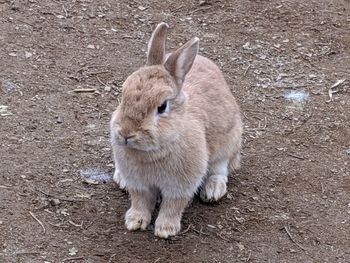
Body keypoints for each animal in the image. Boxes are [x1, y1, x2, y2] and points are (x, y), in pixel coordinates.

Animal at [110, 21, 242, 238]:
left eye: (162, 106)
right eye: (122, 96)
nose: (126, 134)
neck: (151, 153)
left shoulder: (181, 185)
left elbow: (173, 205)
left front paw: (165, 229)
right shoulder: (138, 183)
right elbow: (140, 201)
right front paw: (134, 221)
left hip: (228, 143)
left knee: (221, 169)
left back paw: (213, 189)